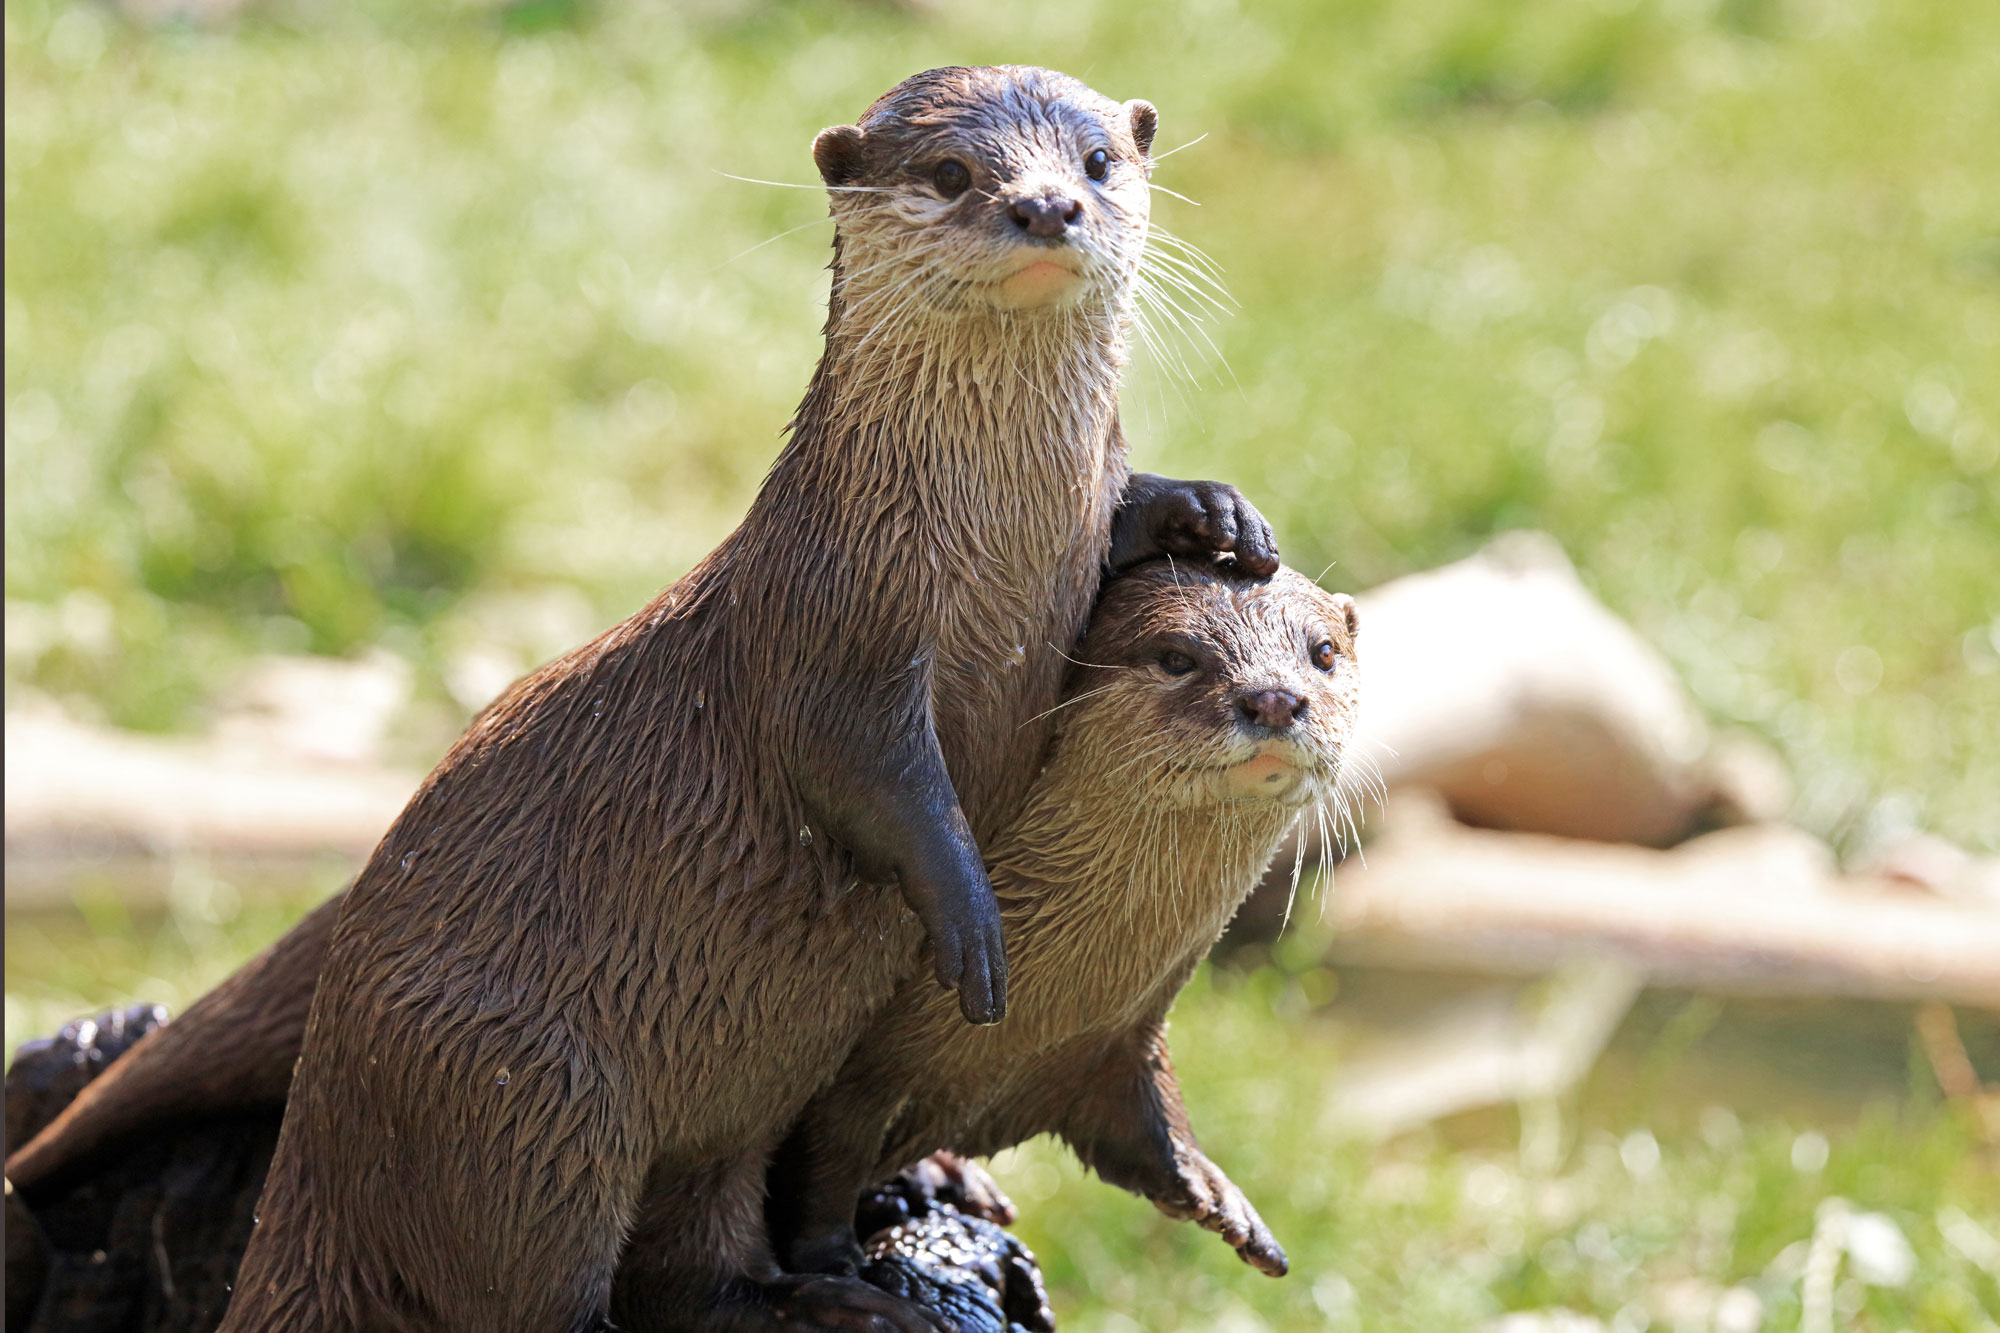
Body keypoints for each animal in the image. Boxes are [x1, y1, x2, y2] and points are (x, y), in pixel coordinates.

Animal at [211, 70, 1272, 1328]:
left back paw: (832, 1298)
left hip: (727, 1106)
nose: (1046, 204)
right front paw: (973, 920)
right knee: (540, 1283)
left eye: (1099, 160)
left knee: (693, 1256)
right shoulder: (829, 635)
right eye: (951, 174)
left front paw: (1208, 514)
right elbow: (869, 776)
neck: (987, 558)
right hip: (520, 1097)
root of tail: (314, 1145)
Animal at [764, 556, 1360, 1280]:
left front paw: (1218, 1191)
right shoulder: (853, 1078)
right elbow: (827, 1157)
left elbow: (1148, 1122)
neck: (1030, 1022)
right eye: (1175, 657)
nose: (1273, 698)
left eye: (1323, 652)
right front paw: (834, 1265)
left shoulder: (1122, 1036)